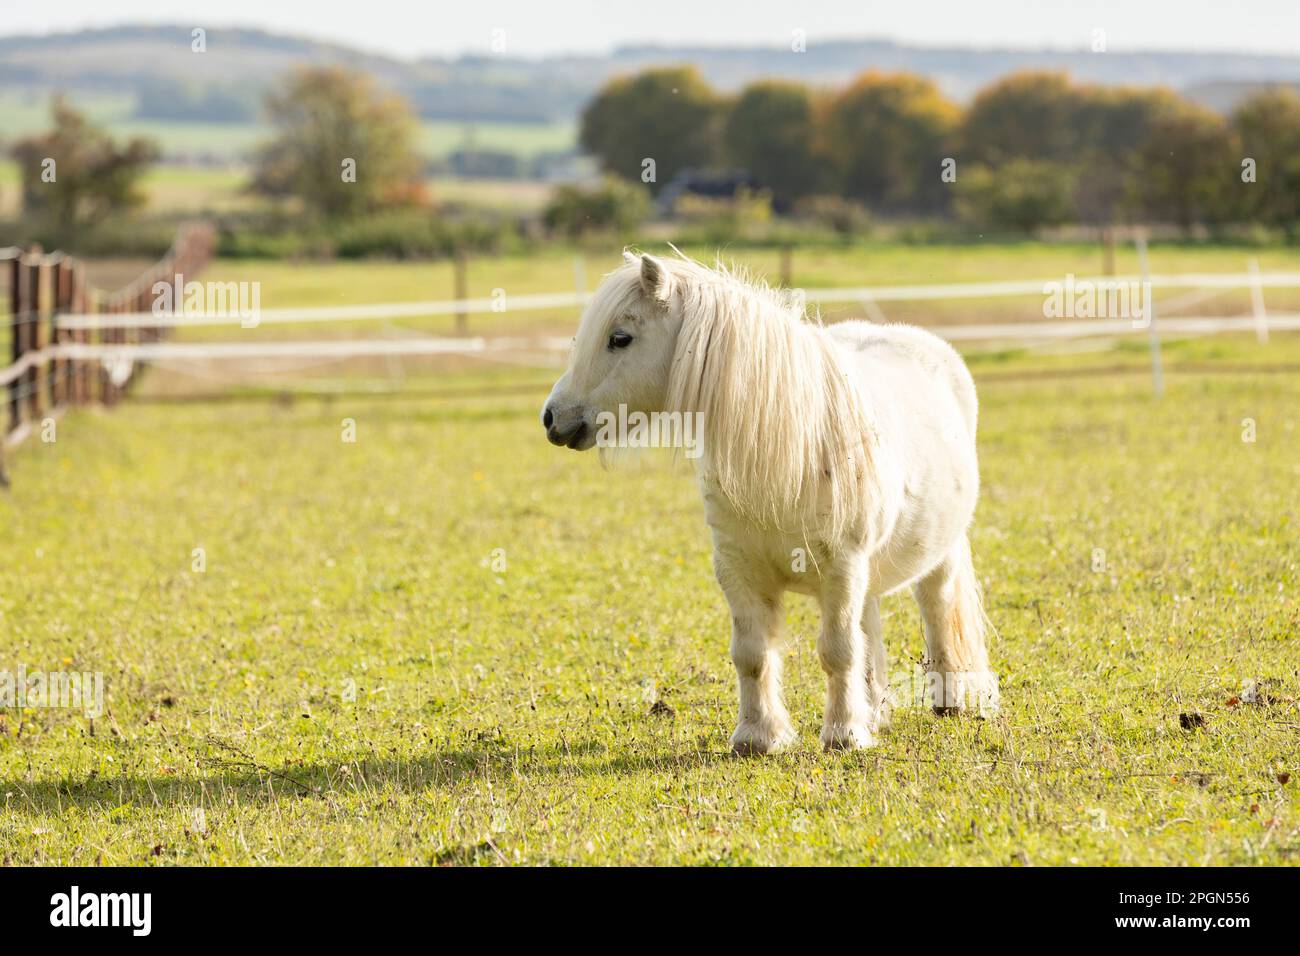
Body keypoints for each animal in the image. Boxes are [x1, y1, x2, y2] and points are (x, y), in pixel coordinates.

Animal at [538, 254, 993, 754]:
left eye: (620, 338)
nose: (552, 417)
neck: (792, 450)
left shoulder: (841, 566)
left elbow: (837, 650)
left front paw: (842, 735)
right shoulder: (738, 568)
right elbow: (752, 654)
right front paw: (759, 736)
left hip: (936, 556)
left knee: (936, 607)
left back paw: (948, 699)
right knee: (869, 626)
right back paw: (874, 711)